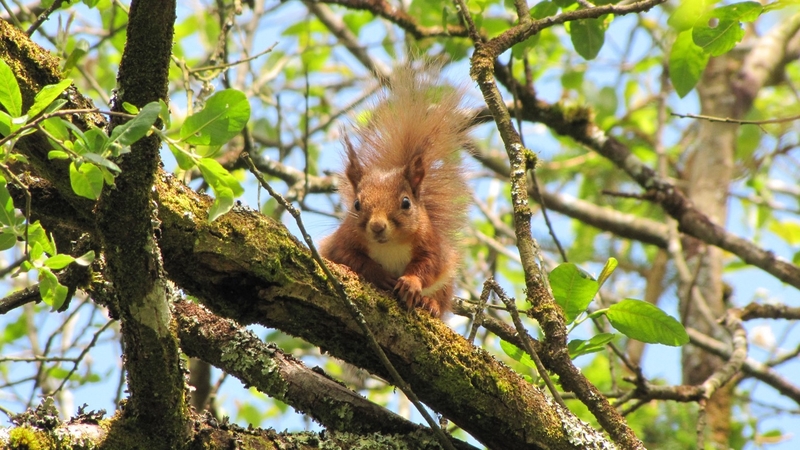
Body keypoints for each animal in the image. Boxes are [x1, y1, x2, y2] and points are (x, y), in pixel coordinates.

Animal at [320, 63, 471, 318]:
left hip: (445, 286)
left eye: (406, 203)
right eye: (356, 204)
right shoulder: (341, 242)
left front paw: (410, 283)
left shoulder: (432, 246)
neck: (390, 245)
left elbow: (428, 266)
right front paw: (379, 275)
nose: (377, 226)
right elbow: (351, 258)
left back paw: (429, 304)